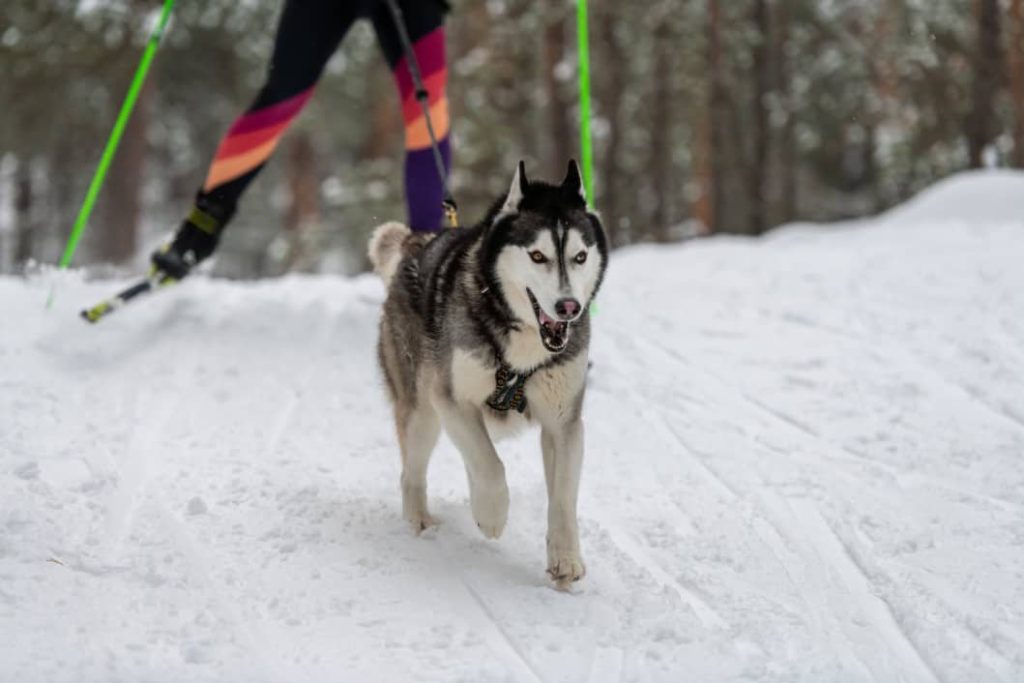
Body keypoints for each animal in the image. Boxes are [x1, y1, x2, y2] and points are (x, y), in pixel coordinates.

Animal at [370, 160, 602, 589]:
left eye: (579, 256)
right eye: (538, 256)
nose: (569, 307)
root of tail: (417, 242)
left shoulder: (564, 423)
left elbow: (562, 497)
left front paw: (564, 559)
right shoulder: (451, 399)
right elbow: (492, 468)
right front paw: (491, 514)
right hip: (422, 409)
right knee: (414, 471)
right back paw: (420, 520)